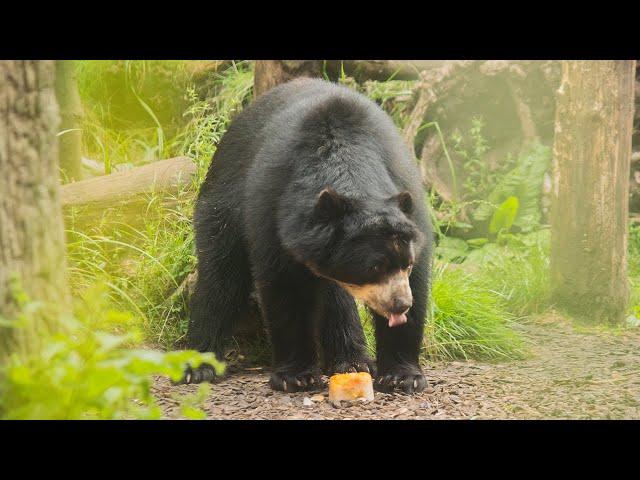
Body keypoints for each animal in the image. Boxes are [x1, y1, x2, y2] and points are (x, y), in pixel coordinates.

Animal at [182, 79, 432, 394]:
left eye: (406, 264)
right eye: (374, 267)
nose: (399, 305)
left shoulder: (407, 195)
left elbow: (418, 283)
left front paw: (402, 377)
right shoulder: (275, 208)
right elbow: (286, 288)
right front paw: (295, 377)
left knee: (335, 298)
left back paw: (353, 362)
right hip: (221, 204)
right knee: (220, 278)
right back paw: (197, 367)